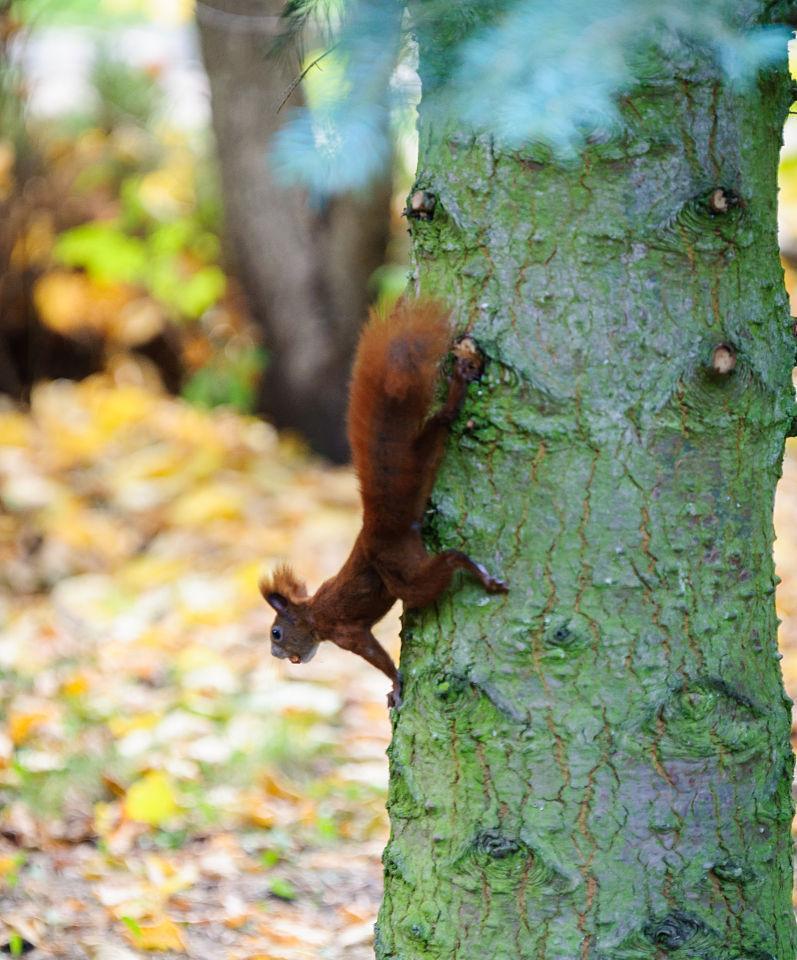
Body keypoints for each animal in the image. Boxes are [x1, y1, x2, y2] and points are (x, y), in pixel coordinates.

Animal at [258, 300, 506, 704]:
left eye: (276, 633)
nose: (274, 653)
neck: (313, 614)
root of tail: (380, 524)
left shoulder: (346, 631)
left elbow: (376, 656)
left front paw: (395, 685)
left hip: (400, 571)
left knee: (444, 565)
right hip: (421, 464)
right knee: (439, 426)